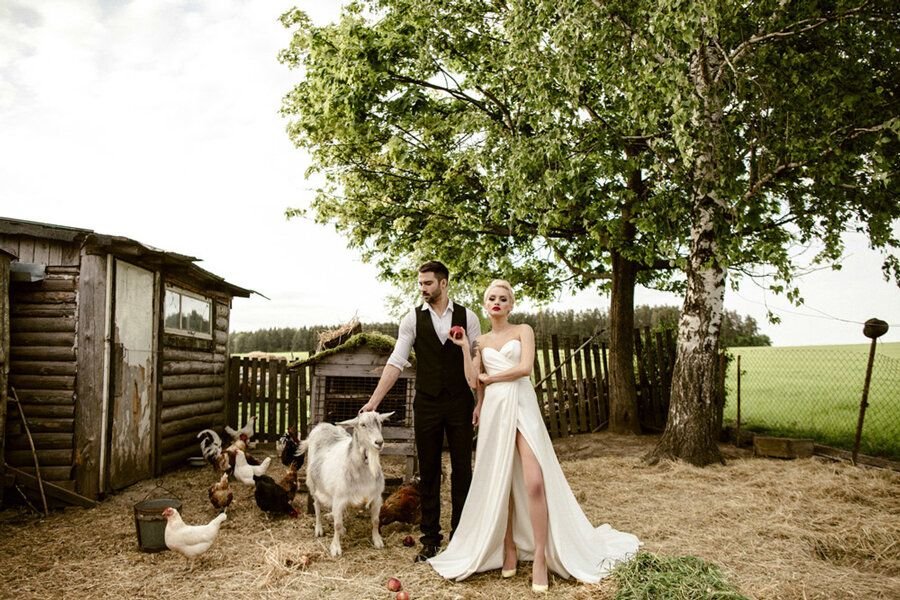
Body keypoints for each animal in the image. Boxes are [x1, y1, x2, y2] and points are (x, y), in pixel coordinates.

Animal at [298, 412, 394, 556]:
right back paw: (319, 529)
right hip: (313, 483)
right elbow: (336, 525)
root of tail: (322, 425)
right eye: (362, 424)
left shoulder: (376, 497)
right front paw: (335, 548)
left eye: (380, 422)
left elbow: (375, 520)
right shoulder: (339, 498)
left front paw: (377, 541)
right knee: (317, 506)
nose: (379, 442)